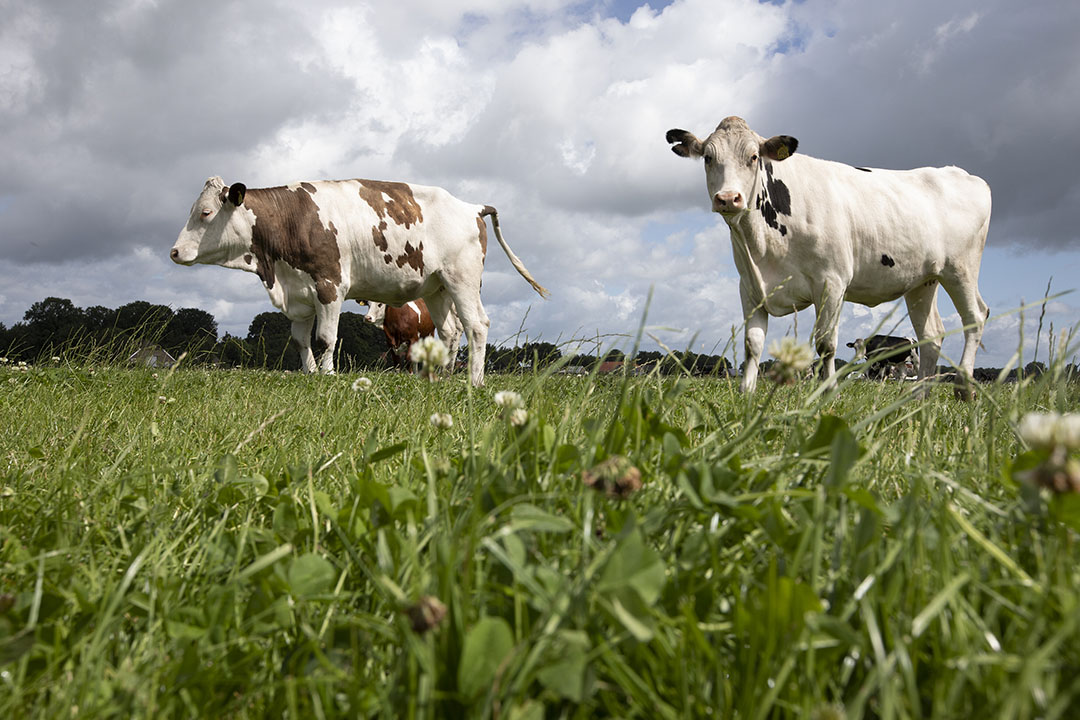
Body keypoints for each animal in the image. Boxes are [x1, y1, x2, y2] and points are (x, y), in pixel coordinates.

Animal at [177, 177, 552, 386]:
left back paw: (474, 382)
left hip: (463, 280)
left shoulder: (330, 285)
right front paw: (309, 374)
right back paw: (440, 379)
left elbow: (326, 338)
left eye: (206, 213)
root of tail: (471, 207)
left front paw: (327, 377)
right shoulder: (300, 292)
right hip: (438, 288)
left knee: (476, 325)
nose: (175, 251)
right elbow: (300, 340)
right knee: (449, 331)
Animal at [669, 118, 989, 399]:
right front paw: (746, 393)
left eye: (754, 156)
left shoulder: (832, 281)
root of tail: (963, 174)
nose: (728, 198)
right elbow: (753, 342)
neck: (761, 248)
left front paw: (828, 392)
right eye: (708, 157)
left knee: (975, 316)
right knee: (931, 335)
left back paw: (963, 388)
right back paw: (918, 397)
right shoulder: (749, 285)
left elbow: (825, 343)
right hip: (924, 281)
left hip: (961, 268)